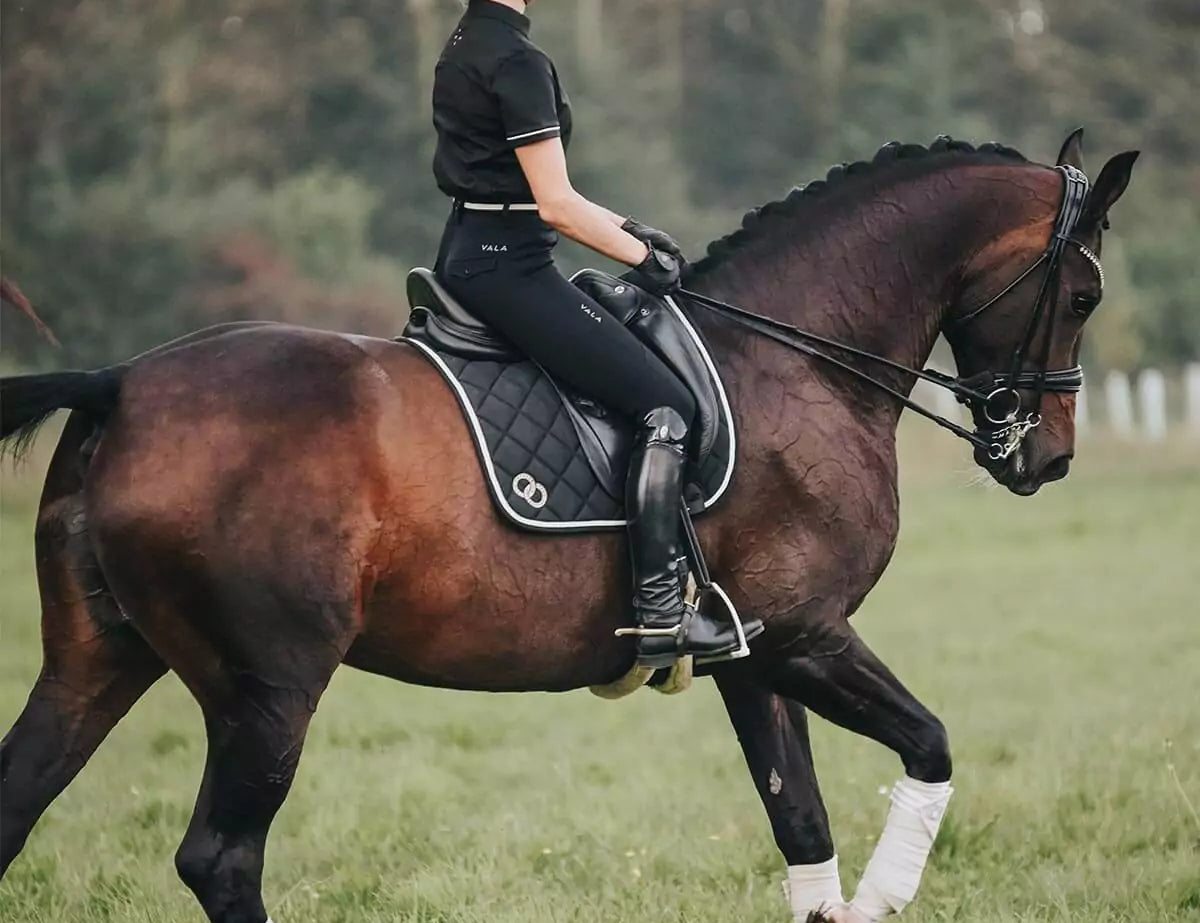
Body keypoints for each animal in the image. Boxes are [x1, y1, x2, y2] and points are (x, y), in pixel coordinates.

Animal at [0, 136, 1132, 921]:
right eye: (1083, 293)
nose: (1046, 456)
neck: (796, 361)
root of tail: (123, 383)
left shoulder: (757, 654)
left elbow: (800, 816)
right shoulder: (810, 633)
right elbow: (930, 744)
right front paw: (888, 894)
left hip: (98, 659)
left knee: (22, 798)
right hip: (268, 688)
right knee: (223, 857)